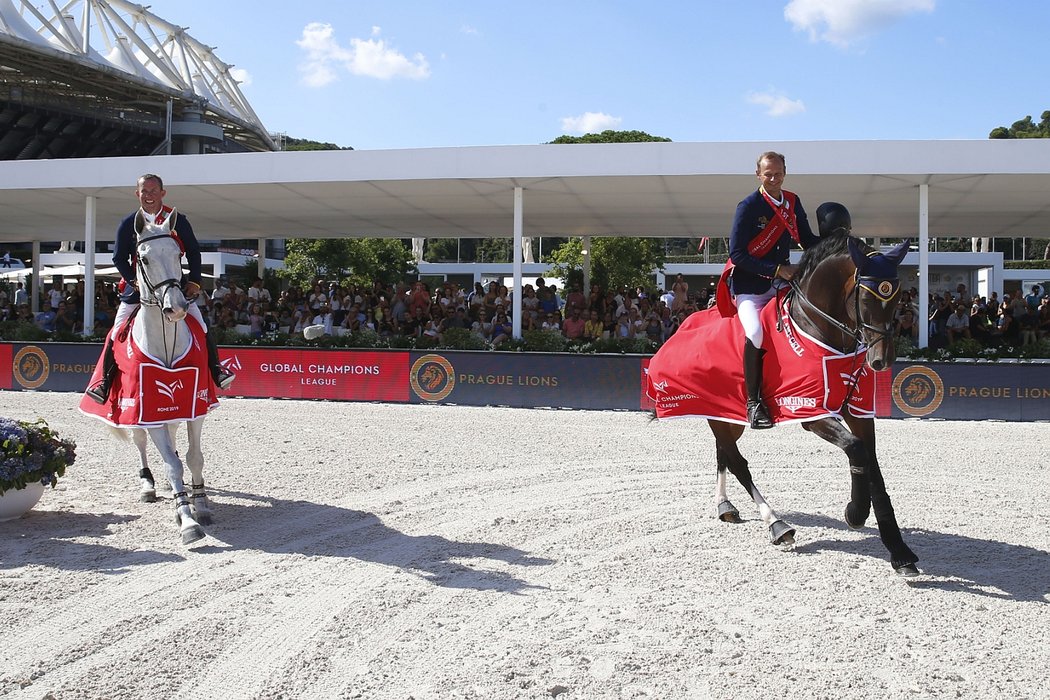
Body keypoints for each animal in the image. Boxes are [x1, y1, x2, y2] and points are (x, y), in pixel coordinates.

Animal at [646, 232, 919, 579]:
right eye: (866, 299)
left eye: (896, 299)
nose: (881, 361)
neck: (819, 328)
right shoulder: (810, 412)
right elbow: (856, 450)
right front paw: (855, 512)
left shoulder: (857, 411)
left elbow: (872, 466)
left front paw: (900, 552)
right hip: (719, 413)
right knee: (738, 462)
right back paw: (777, 525)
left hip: (725, 414)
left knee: (723, 453)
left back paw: (725, 506)